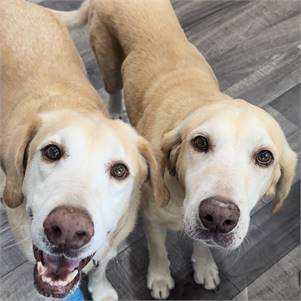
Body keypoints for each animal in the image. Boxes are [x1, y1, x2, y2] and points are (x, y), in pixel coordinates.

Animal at [0, 1, 169, 298]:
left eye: (120, 170)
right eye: (51, 152)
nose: (68, 230)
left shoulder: (110, 243)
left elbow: (100, 268)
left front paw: (101, 289)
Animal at [50, 0, 296, 298]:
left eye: (265, 157)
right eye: (200, 142)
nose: (218, 215)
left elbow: (201, 244)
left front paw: (204, 265)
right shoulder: (152, 219)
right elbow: (158, 251)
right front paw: (159, 278)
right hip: (108, 65)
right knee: (113, 90)